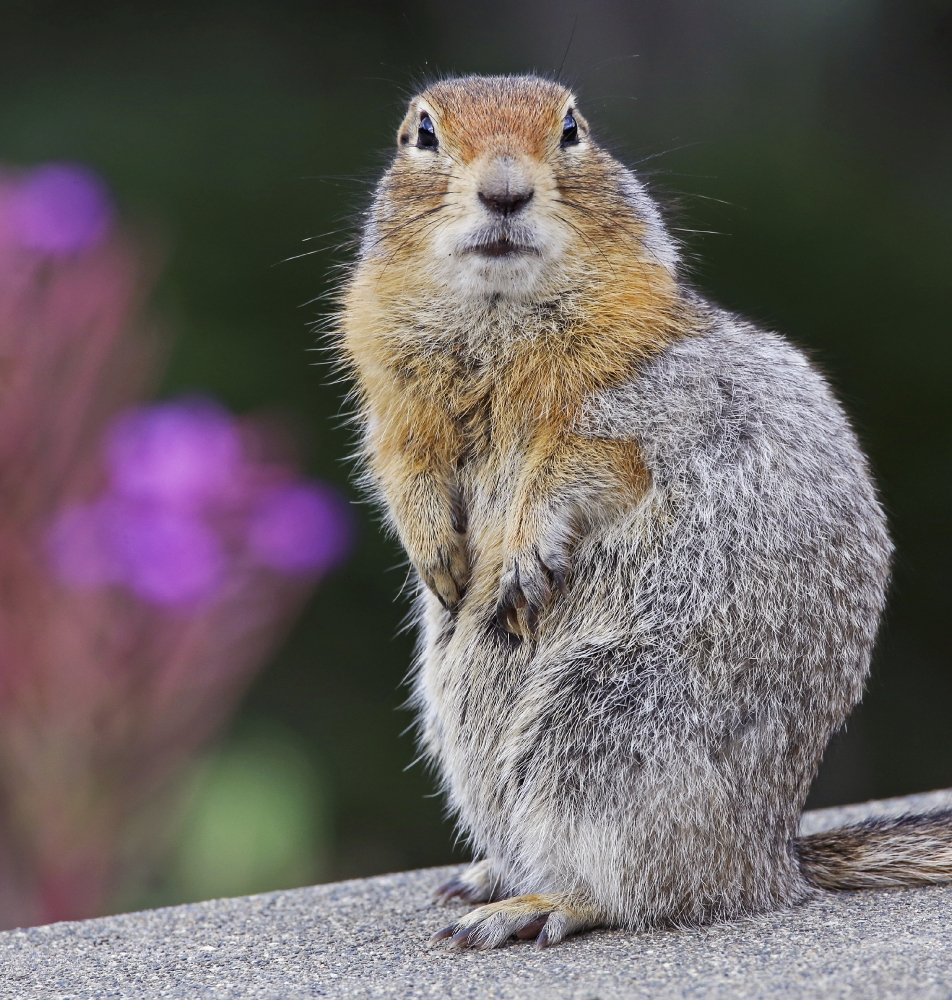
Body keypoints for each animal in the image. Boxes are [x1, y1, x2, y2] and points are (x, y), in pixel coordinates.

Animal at [336, 74, 952, 948]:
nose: (504, 190)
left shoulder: (642, 400)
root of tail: (775, 858)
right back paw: (489, 876)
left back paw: (539, 904)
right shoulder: (398, 406)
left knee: (649, 888)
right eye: (421, 132)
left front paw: (520, 554)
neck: (494, 323)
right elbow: (402, 466)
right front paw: (437, 558)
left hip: (607, 720)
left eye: (572, 129)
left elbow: (580, 465)